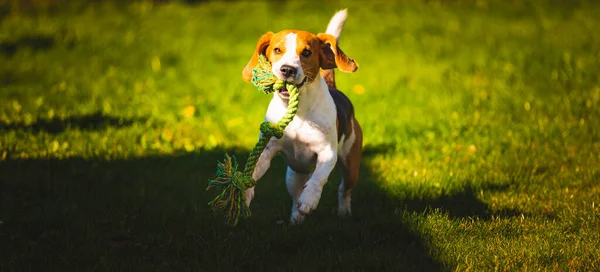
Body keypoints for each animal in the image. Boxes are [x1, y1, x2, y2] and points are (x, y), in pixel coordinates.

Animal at [240, 9, 360, 224]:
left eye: (306, 53)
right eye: (277, 50)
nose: (287, 69)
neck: (298, 113)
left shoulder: (327, 153)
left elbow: (318, 178)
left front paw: (310, 199)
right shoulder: (267, 149)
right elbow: (253, 169)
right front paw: (244, 194)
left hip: (350, 165)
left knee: (343, 190)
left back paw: (343, 211)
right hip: (293, 176)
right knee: (295, 197)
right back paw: (296, 219)